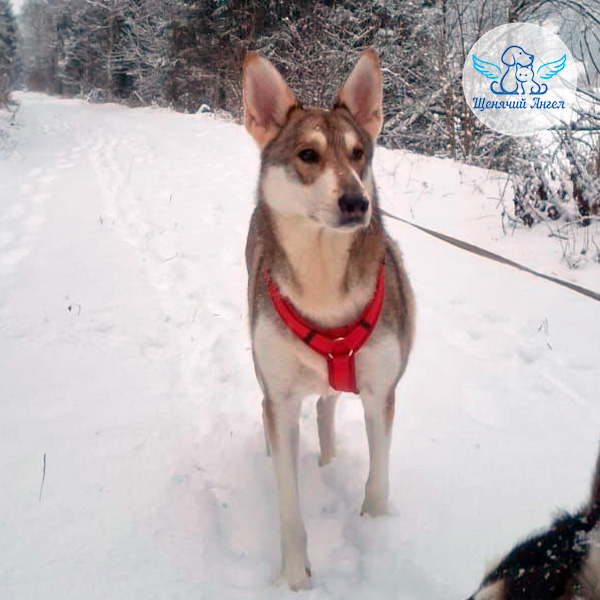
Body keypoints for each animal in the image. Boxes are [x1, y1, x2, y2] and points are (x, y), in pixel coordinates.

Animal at [243, 49, 415, 589]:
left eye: (360, 153)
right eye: (308, 155)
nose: (357, 202)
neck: (323, 283)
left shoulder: (381, 390)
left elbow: (379, 481)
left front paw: (376, 533)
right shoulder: (280, 397)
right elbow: (289, 508)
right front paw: (297, 578)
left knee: (325, 403)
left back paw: (329, 457)